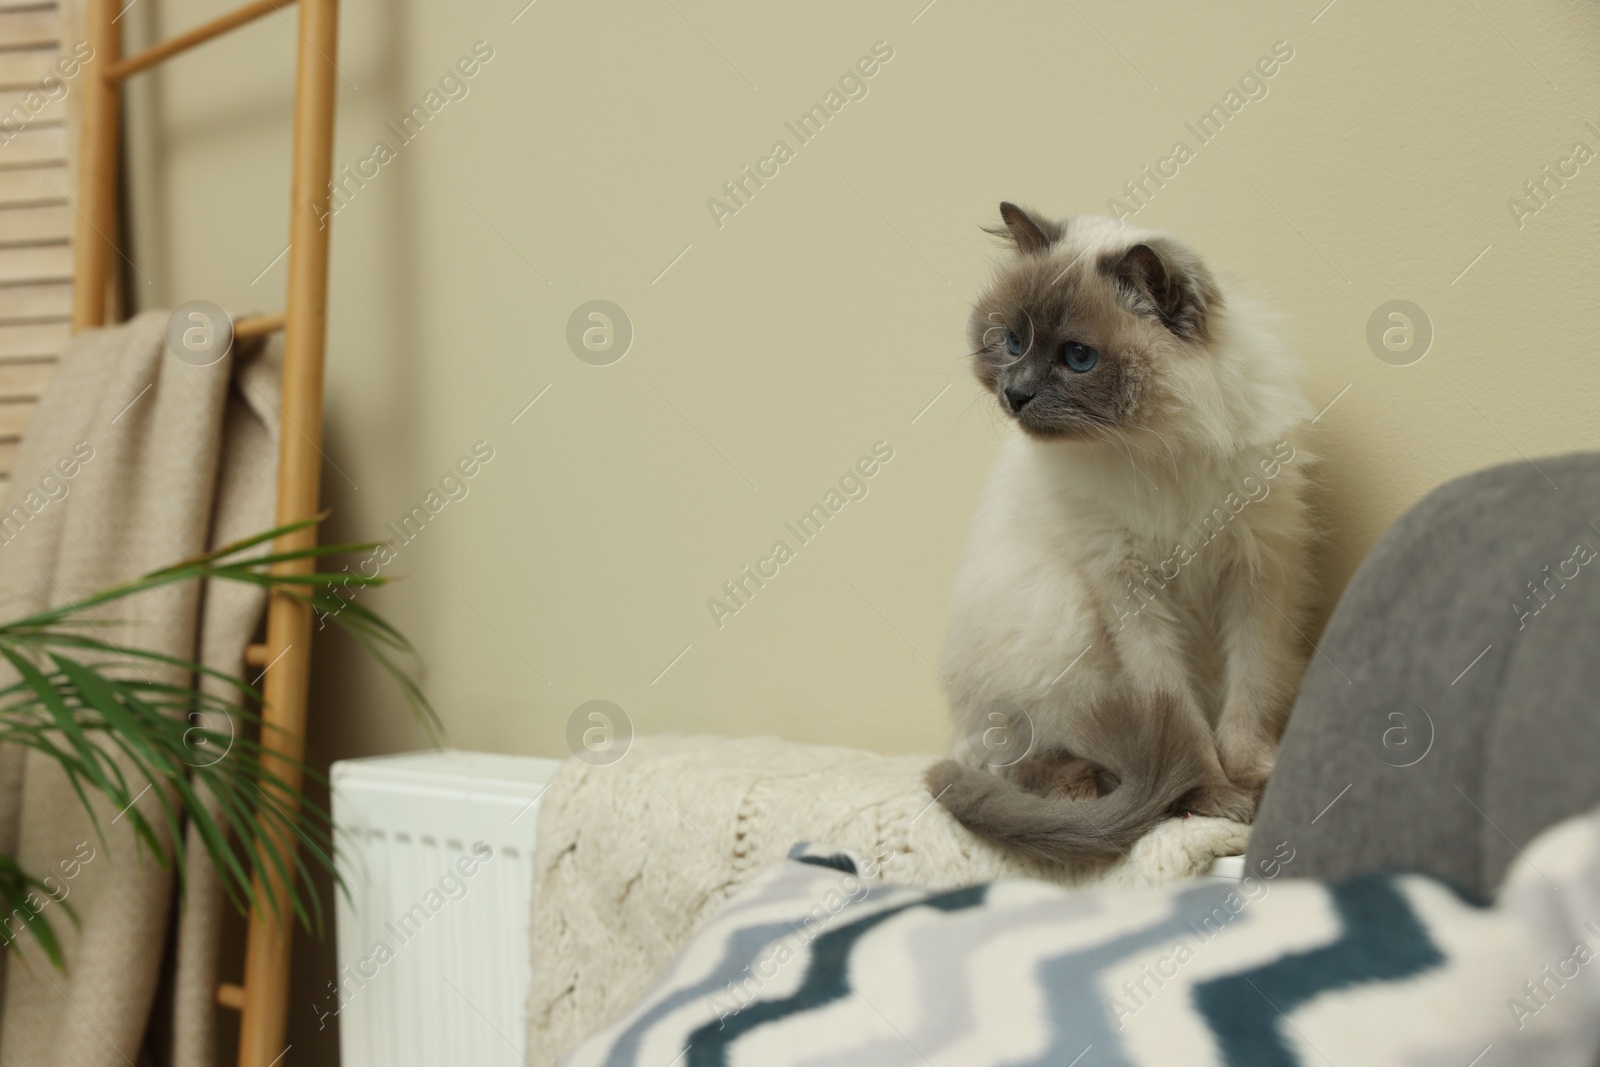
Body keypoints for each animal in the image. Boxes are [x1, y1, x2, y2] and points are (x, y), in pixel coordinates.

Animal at [928, 204, 1312, 863]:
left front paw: (1252, 784)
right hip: (1060, 613)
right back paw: (1095, 785)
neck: (1156, 450)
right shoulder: (1125, 585)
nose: (1015, 394)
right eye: (1012, 342)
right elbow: (1178, 714)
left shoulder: (1254, 575)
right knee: (1013, 762)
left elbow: (1249, 699)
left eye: (1078, 357)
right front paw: (1209, 796)